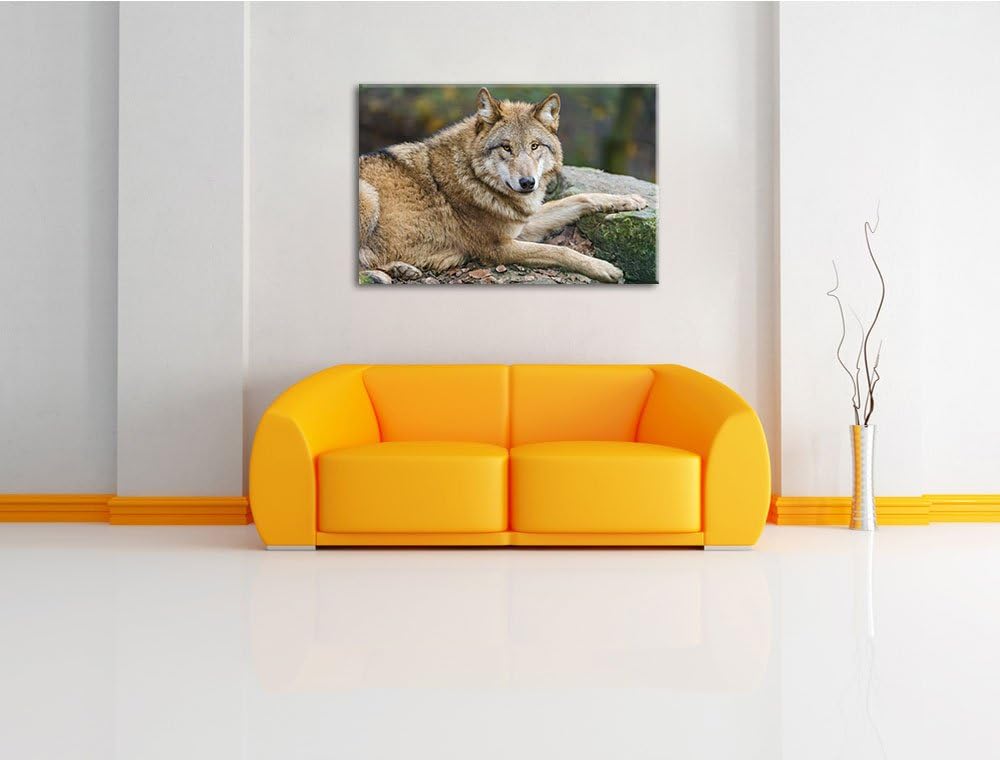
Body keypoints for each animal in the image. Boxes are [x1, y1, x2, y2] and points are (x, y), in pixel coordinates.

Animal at [359, 88, 647, 283]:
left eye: (534, 146)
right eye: (506, 148)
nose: (527, 183)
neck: (474, 177)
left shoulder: (522, 224)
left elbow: (579, 198)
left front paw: (628, 200)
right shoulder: (499, 248)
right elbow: (560, 251)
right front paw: (605, 268)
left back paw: (401, 269)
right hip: (369, 196)